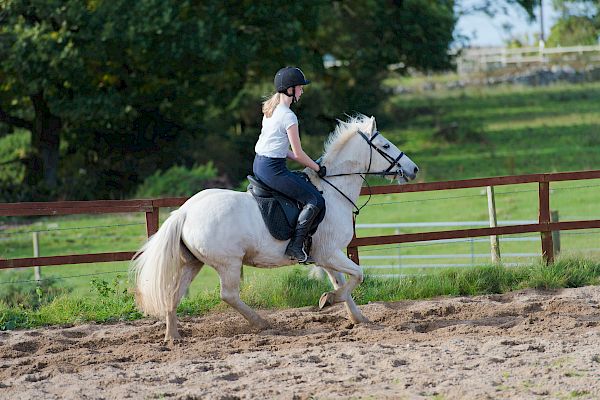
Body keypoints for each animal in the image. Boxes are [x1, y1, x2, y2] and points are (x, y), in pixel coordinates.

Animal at [132, 113, 418, 340]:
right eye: (385, 145)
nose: (413, 168)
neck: (333, 191)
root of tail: (185, 211)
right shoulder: (329, 253)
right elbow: (358, 275)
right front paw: (329, 300)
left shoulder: (325, 256)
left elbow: (342, 284)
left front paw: (357, 318)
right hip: (228, 263)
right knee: (229, 295)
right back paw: (263, 324)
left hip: (193, 262)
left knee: (174, 294)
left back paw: (173, 337)